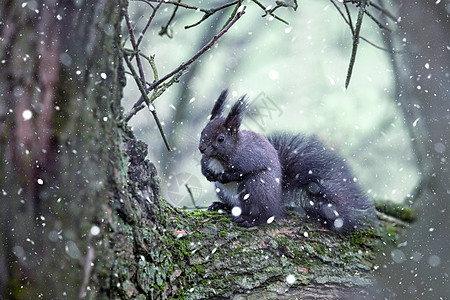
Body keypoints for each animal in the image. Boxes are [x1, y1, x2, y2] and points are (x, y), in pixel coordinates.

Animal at [199, 89, 378, 232]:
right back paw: (221, 206)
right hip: (223, 191)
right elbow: (204, 165)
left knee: (264, 215)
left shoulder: (250, 157)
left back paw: (249, 219)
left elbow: (242, 171)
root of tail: (278, 203)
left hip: (256, 188)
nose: (201, 148)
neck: (218, 158)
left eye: (221, 139)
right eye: (202, 131)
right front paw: (206, 173)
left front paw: (225, 176)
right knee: (234, 206)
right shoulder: (207, 160)